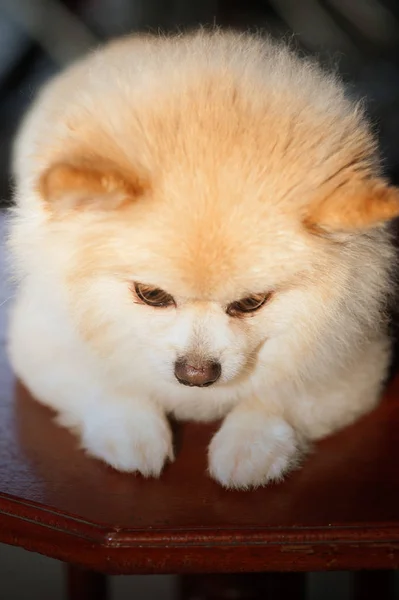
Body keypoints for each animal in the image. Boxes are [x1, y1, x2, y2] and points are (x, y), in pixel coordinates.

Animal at [7, 29, 399, 488]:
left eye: (251, 303)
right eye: (151, 295)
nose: (195, 373)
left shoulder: (356, 368)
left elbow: (281, 397)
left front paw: (251, 445)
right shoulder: (41, 342)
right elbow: (106, 384)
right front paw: (132, 431)